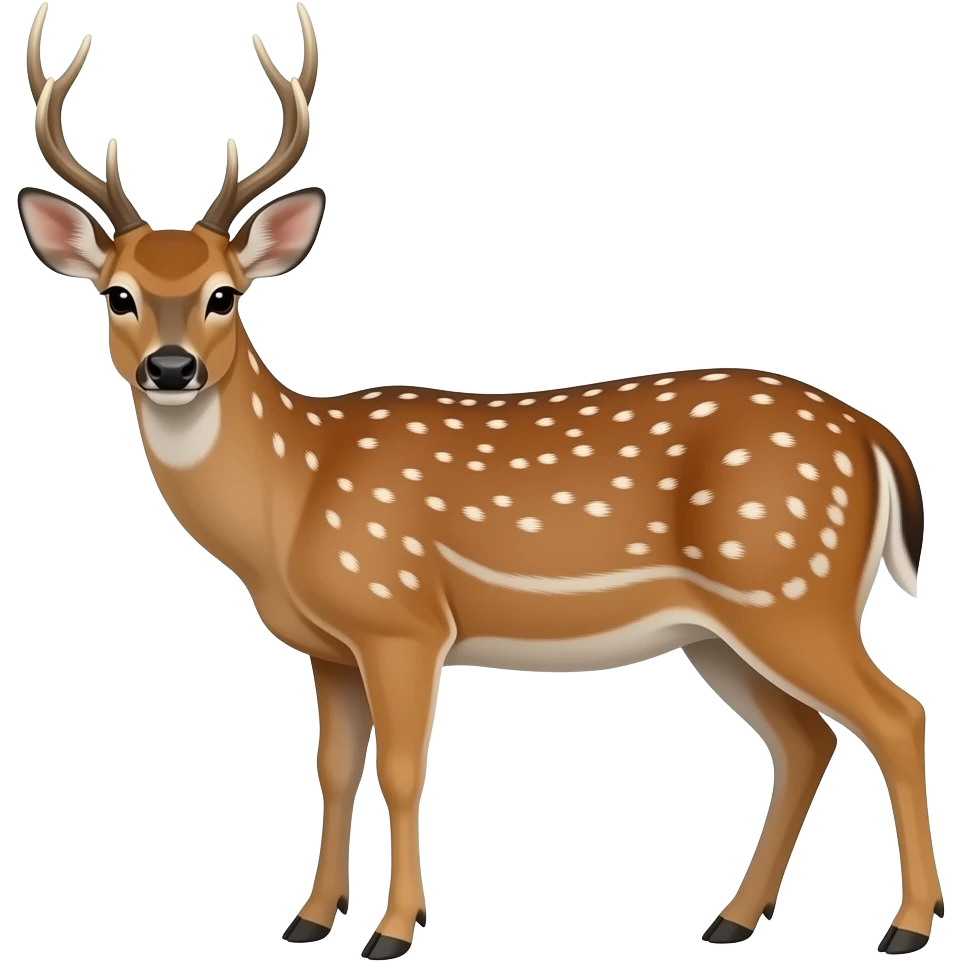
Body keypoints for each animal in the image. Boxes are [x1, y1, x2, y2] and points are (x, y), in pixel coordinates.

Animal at [18, 5, 941, 959]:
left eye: (225, 295)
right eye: (118, 295)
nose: (172, 369)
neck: (292, 501)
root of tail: (876, 435)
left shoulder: (402, 618)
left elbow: (401, 770)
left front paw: (393, 929)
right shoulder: (330, 648)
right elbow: (334, 770)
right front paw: (310, 919)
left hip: (791, 587)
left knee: (896, 715)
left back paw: (905, 927)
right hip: (722, 629)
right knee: (805, 740)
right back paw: (732, 917)